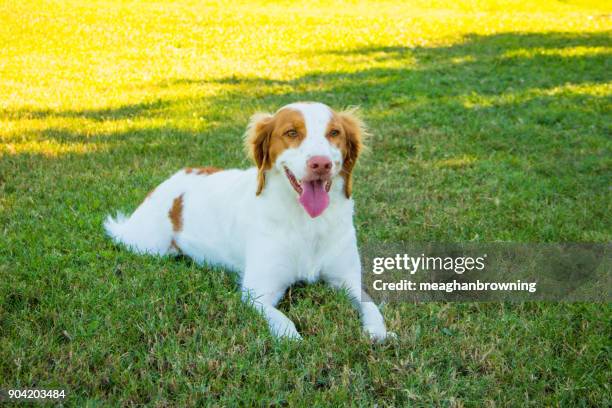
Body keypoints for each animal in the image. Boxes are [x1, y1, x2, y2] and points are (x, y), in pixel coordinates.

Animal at [104, 101, 392, 342]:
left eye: (334, 133)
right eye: (291, 133)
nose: (320, 164)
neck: (305, 221)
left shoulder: (347, 279)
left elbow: (371, 306)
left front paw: (378, 331)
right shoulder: (257, 292)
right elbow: (284, 323)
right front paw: (293, 339)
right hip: (149, 246)